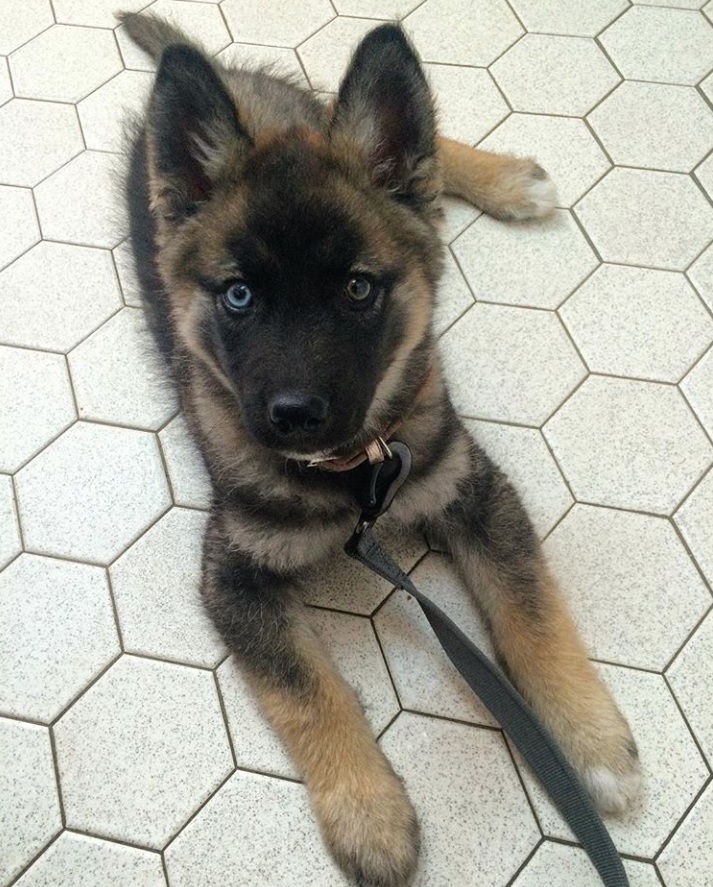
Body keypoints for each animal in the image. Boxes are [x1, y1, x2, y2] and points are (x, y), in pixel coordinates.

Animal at [121, 10, 640, 884]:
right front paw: (369, 813)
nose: (294, 417)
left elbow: (532, 612)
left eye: (358, 289)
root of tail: (231, 81)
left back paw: (507, 181)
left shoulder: (472, 485)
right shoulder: (234, 571)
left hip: (343, 114)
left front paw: (591, 740)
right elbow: (308, 690)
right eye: (239, 295)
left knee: (421, 162)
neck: (349, 478)